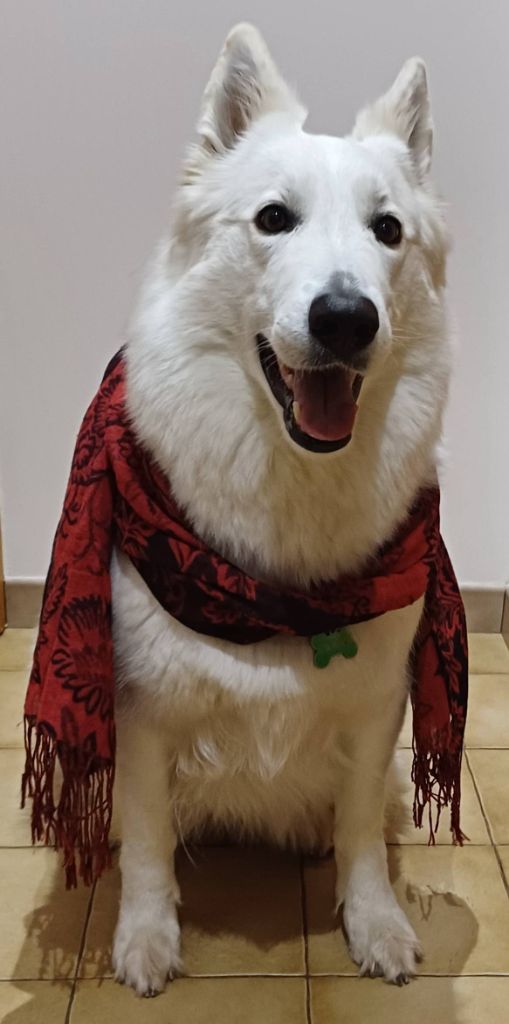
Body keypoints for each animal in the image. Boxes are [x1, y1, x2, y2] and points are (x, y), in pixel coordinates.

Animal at [110, 23, 450, 995]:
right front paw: (144, 938)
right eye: (272, 220)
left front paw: (371, 922)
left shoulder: (376, 710)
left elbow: (360, 834)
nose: (345, 319)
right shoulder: (141, 711)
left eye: (387, 231)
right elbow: (146, 837)